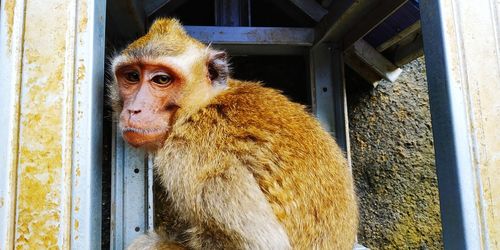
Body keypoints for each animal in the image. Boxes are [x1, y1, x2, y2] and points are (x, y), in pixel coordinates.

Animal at [111, 18, 358, 250]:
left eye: (161, 79)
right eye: (132, 76)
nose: (134, 110)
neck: (200, 105)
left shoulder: (190, 153)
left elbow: (261, 244)